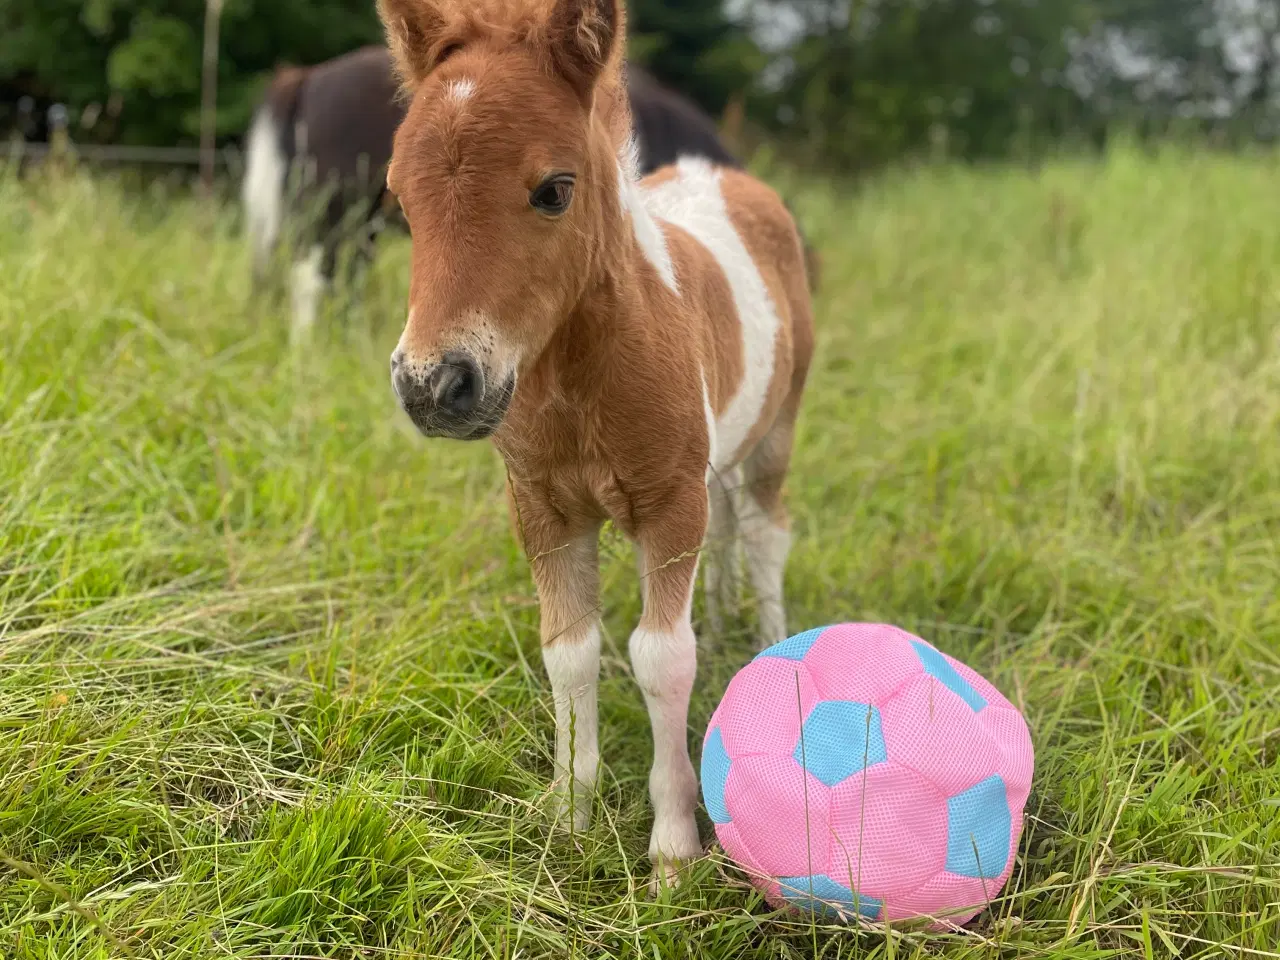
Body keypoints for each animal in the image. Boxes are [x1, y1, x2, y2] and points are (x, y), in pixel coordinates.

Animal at [373, 0, 808, 890]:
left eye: (553, 191)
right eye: (400, 195)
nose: (433, 386)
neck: (578, 381)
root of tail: (728, 176)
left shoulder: (668, 503)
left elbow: (660, 658)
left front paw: (673, 850)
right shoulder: (544, 509)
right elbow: (568, 653)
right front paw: (567, 820)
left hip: (776, 428)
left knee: (763, 531)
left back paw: (768, 644)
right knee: (727, 530)